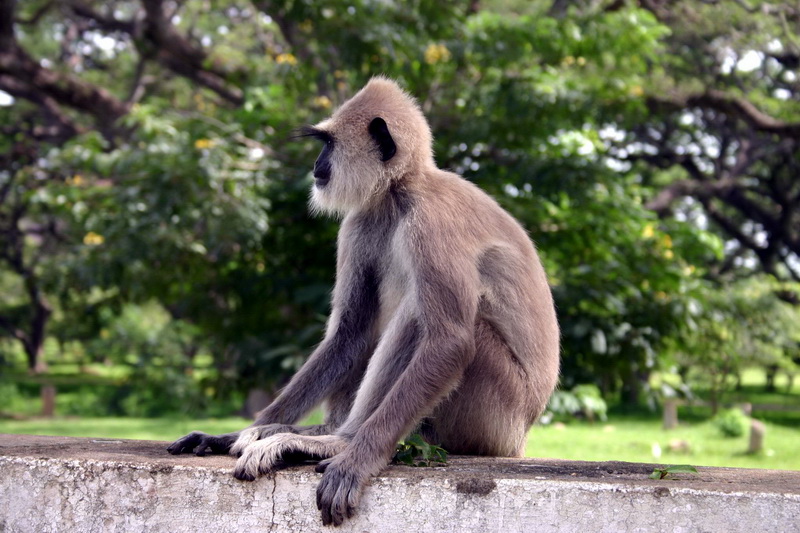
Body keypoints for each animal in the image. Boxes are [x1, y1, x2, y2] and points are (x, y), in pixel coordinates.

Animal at [166, 77, 560, 524]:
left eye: (328, 144)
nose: (317, 167)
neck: (401, 191)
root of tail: (520, 435)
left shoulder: (431, 222)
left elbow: (450, 341)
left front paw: (358, 460)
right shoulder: (360, 220)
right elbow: (350, 333)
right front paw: (232, 433)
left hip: (494, 411)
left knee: (421, 318)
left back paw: (341, 443)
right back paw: (308, 433)